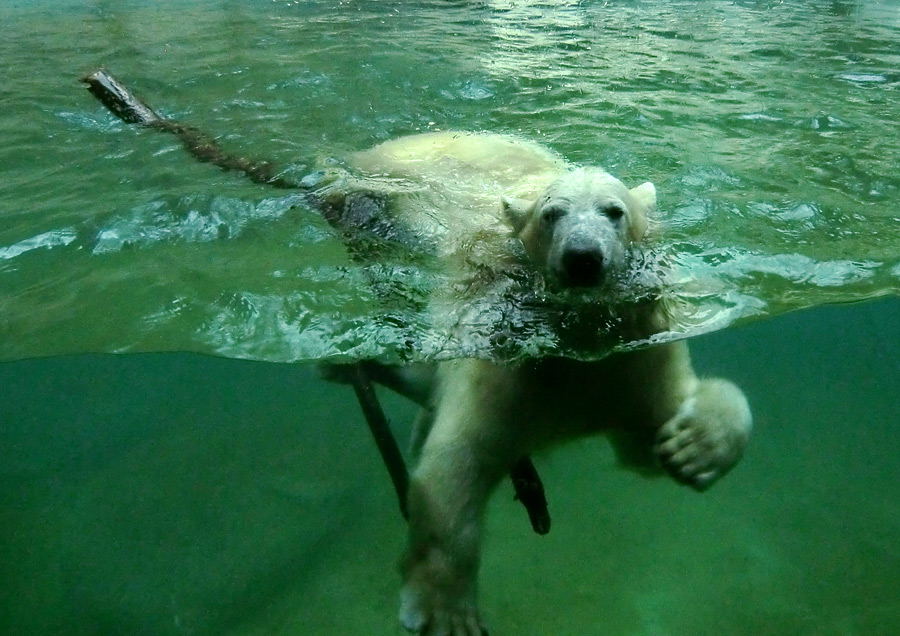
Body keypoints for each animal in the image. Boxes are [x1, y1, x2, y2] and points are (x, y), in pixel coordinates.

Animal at [324, 132, 752, 632]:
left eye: (614, 211)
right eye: (552, 214)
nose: (583, 258)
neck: (581, 342)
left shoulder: (639, 355)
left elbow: (651, 436)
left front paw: (693, 448)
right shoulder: (502, 362)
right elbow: (458, 463)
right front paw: (446, 611)